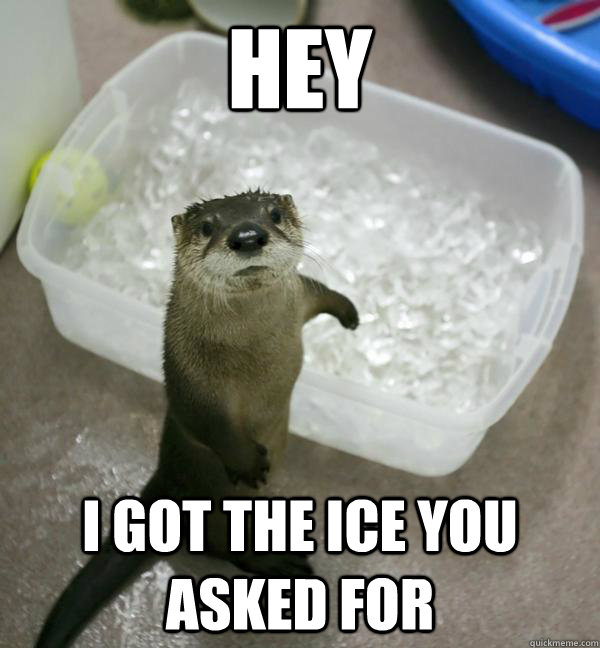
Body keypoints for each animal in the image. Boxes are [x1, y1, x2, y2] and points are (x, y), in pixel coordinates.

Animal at [36, 190, 359, 647]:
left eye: (274, 214)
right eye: (207, 226)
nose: (248, 235)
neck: (253, 345)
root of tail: (166, 483)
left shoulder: (298, 297)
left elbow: (320, 290)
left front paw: (348, 311)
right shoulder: (192, 381)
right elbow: (209, 424)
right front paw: (248, 464)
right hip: (216, 519)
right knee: (229, 551)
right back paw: (277, 562)